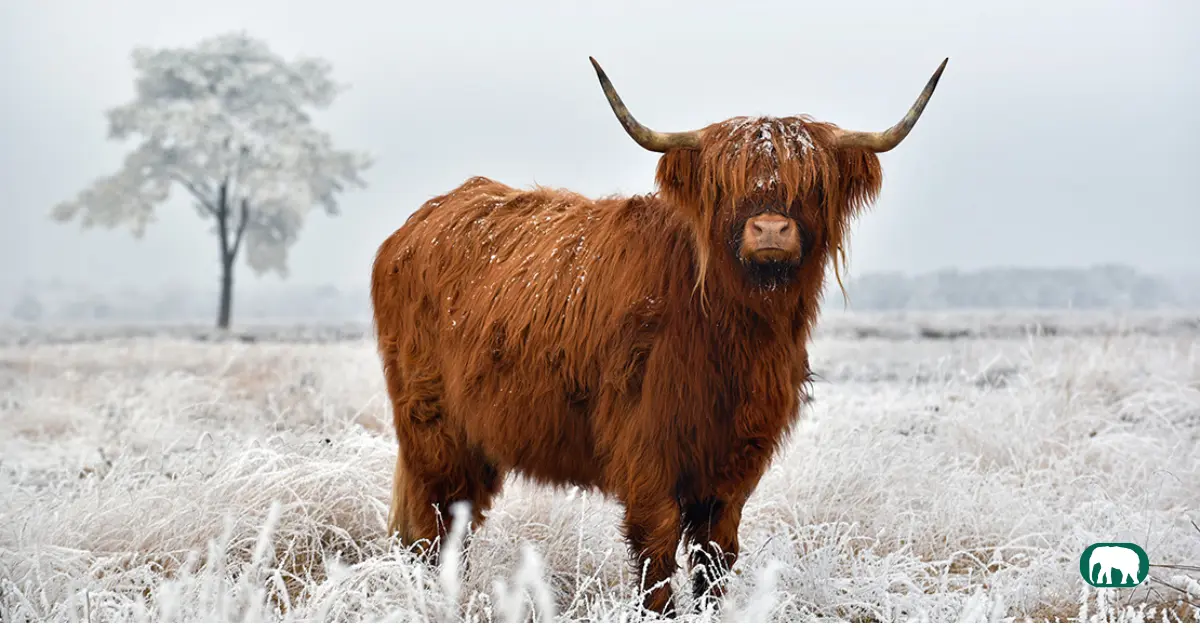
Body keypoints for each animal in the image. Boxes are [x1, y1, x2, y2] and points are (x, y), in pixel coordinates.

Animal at [370, 56, 948, 616]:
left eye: (810, 183)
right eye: (724, 185)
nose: (769, 230)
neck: (733, 334)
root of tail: (419, 222)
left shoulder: (735, 460)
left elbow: (716, 556)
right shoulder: (646, 448)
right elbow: (657, 552)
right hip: (433, 428)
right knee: (436, 523)